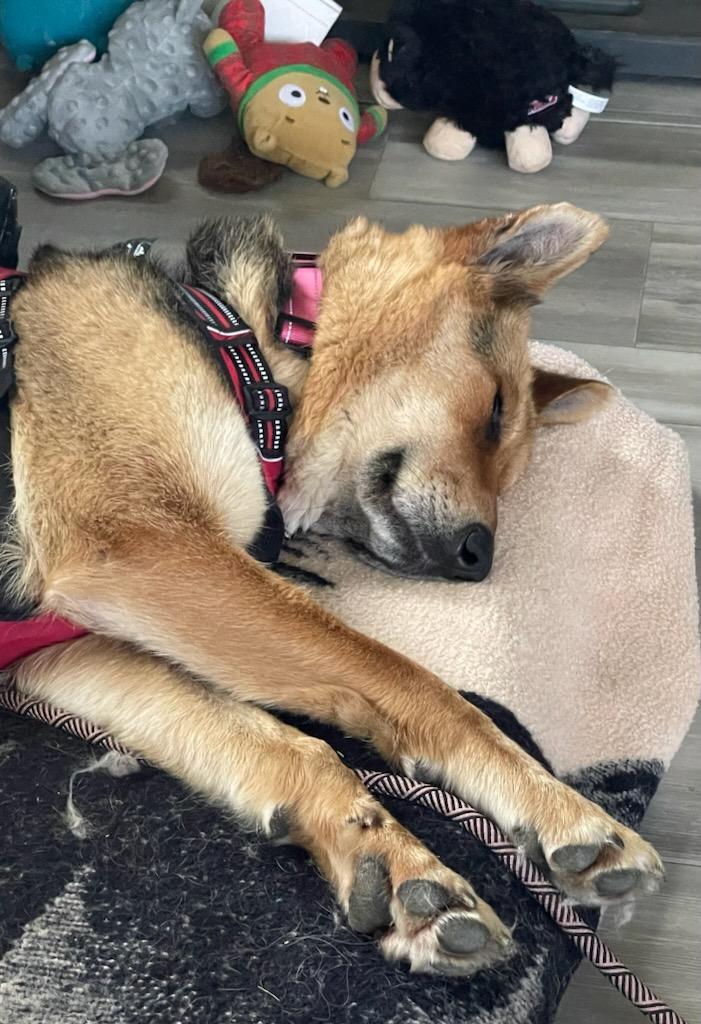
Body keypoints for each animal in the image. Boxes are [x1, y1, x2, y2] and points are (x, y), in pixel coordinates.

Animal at [1, 201, 663, 974]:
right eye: (496, 409)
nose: (479, 561)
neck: (255, 348)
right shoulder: (144, 545)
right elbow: (420, 687)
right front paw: (563, 807)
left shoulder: (66, 653)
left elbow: (282, 744)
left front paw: (387, 857)